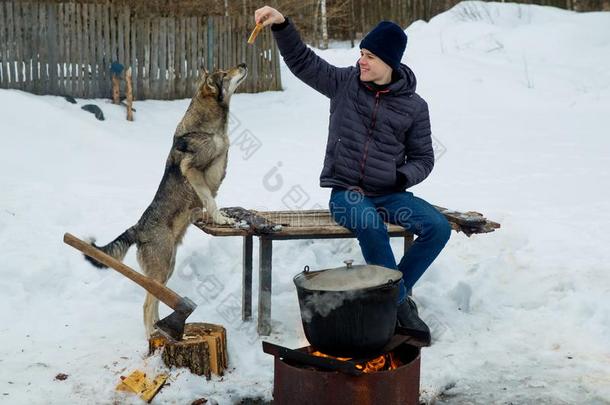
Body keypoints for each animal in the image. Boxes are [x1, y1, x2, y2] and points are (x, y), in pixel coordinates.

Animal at [84, 62, 248, 334]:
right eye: (224, 74)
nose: (243, 64)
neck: (209, 127)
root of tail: (137, 228)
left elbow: (212, 197)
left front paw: (220, 216)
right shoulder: (192, 170)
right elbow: (210, 199)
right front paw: (221, 219)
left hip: (167, 268)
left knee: (158, 301)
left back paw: (161, 330)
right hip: (161, 268)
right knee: (146, 305)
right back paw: (152, 333)